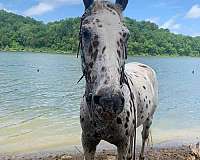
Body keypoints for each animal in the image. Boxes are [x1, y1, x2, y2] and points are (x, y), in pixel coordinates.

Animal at [79, 0, 159, 159]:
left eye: (125, 35)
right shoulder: (87, 142)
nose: (109, 101)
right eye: (85, 32)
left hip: (149, 120)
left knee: (144, 136)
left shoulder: (122, 143)